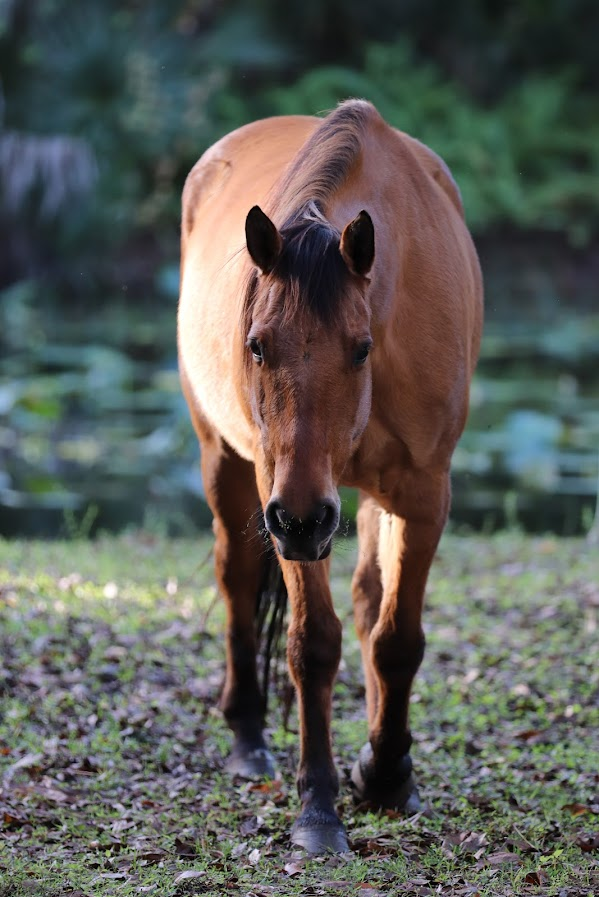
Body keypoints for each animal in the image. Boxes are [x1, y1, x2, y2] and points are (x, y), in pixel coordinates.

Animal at [178, 99, 483, 854]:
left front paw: (386, 774)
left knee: (372, 601)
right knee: (235, 580)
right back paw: (248, 738)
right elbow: (312, 643)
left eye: (361, 346)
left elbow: (396, 638)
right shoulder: (281, 496)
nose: (301, 518)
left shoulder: (421, 493)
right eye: (257, 345)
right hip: (227, 464)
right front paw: (318, 806)